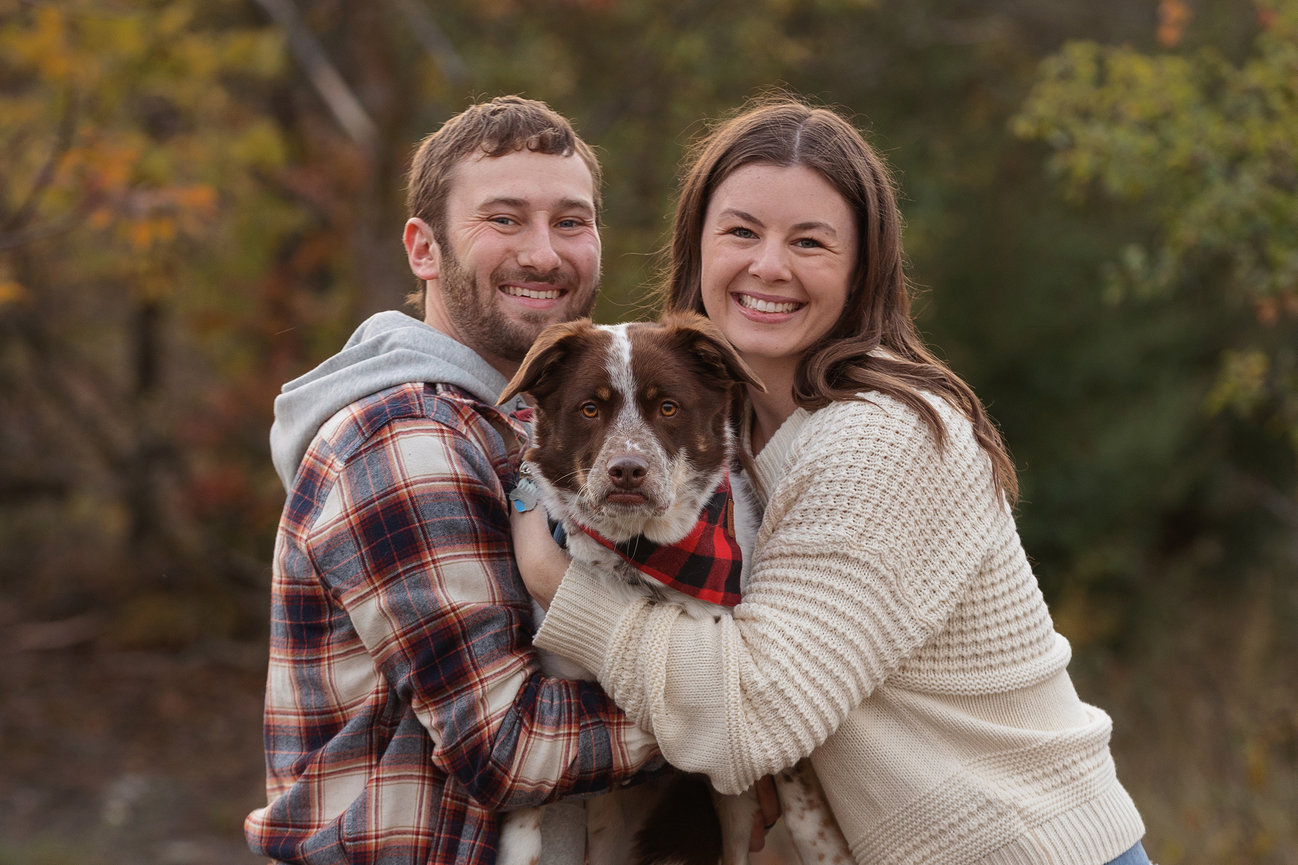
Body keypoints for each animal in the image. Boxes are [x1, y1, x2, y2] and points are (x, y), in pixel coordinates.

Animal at [497, 311, 853, 865]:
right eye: (590, 408)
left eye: (668, 407)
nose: (626, 469)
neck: (646, 562)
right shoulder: (554, 705)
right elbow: (526, 808)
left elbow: (799, 802)